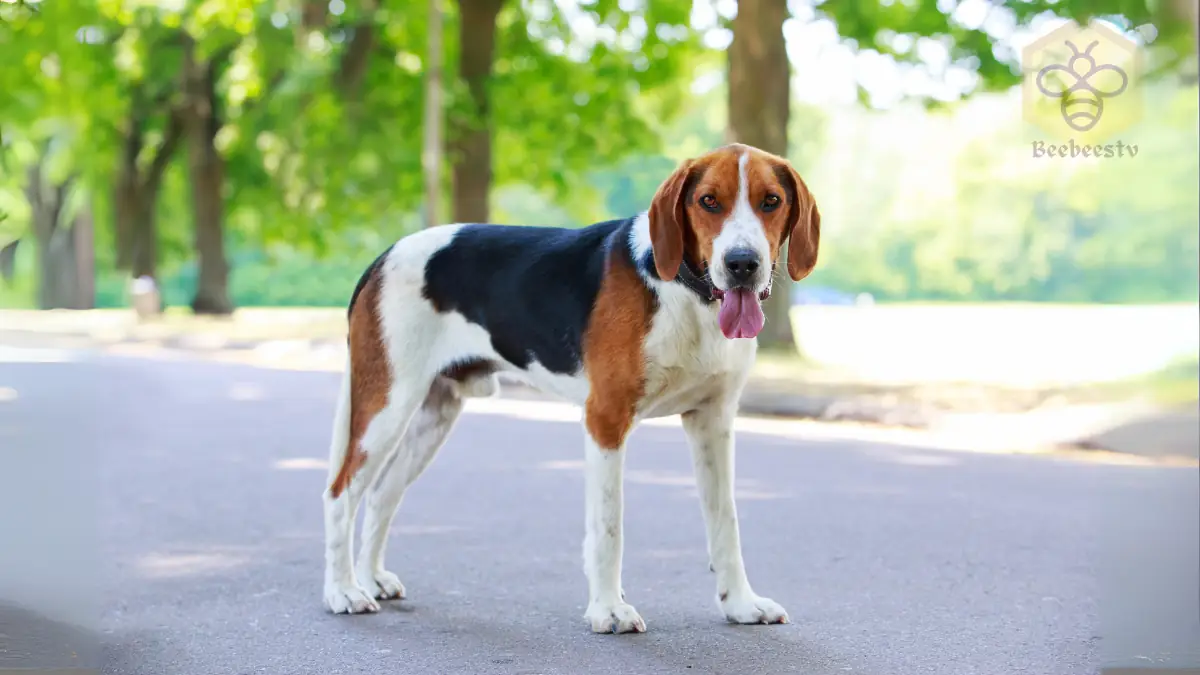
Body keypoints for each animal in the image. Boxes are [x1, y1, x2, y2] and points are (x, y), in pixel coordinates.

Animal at [324, 140, 820, 629]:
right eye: (709, 201)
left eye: (771, 201)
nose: (742, 264)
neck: (687, 294)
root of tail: (384, 255)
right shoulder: (606, 419)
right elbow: (608, 526)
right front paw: (608, 609)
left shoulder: (712, 422)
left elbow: (725, 523)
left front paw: (740, 603)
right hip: (386, 406)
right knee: (340, 494)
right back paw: (343, 591)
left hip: (433, 415)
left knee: (381, 493)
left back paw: (371, 578)